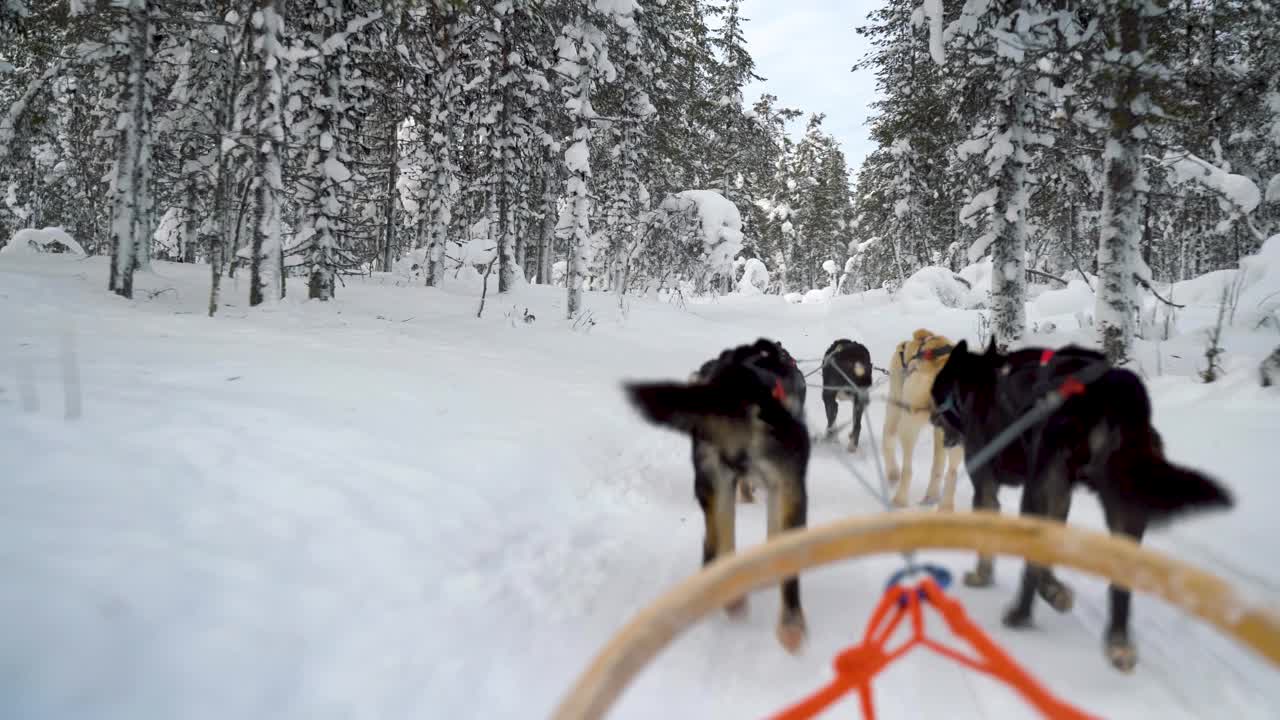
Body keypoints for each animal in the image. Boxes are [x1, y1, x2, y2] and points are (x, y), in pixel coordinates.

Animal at [622, 335, 808, 650]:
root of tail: (739, 384)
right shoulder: (782, 486)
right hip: (791, 487)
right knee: (788, 569)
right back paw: (791, 626)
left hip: (713, 485)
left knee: (717, 544)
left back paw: (727, 596)